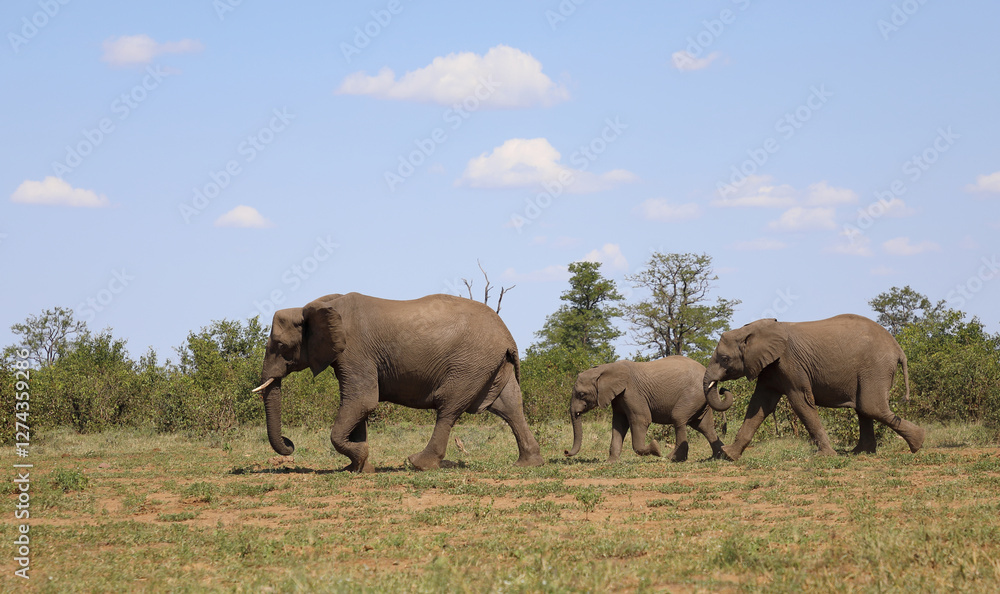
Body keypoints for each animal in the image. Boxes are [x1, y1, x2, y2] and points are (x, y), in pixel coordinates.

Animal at [252, 292, 544, 472]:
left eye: (280, 345)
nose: (289, 443)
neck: (312, 306)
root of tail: (507, 334)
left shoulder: (355, 352)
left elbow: (362, 401)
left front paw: (360, 457)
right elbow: (360, 407)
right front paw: (359, 467)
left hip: (470, 363)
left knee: (449, 407)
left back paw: (418, 463)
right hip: (490, 363)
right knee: (510, 406)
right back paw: (528, 464)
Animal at [564, 356, 734, 463]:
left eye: (581, 394)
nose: (566, 452)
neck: (605, 368)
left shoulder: (632, 392)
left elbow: (641, 420)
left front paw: (656, 449)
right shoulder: (619, 397)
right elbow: (618, 424)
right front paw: (611, 462)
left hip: (693, 395)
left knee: (679, 418)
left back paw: (672, 458)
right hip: (701, 399)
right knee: (704, 426)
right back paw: (719, 457)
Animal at [703, 314, 925, 461]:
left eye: (725, 359)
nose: (722, 390)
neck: (750, 330)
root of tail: (898, 348)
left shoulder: (789, 362)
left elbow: (800, 401)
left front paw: (825, 455)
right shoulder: (770, 366)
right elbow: (760, 404)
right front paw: (730, 455)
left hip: (876, 368)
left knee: (871, 407)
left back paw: (918, 443)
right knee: (864, 409)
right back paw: (860, 453)